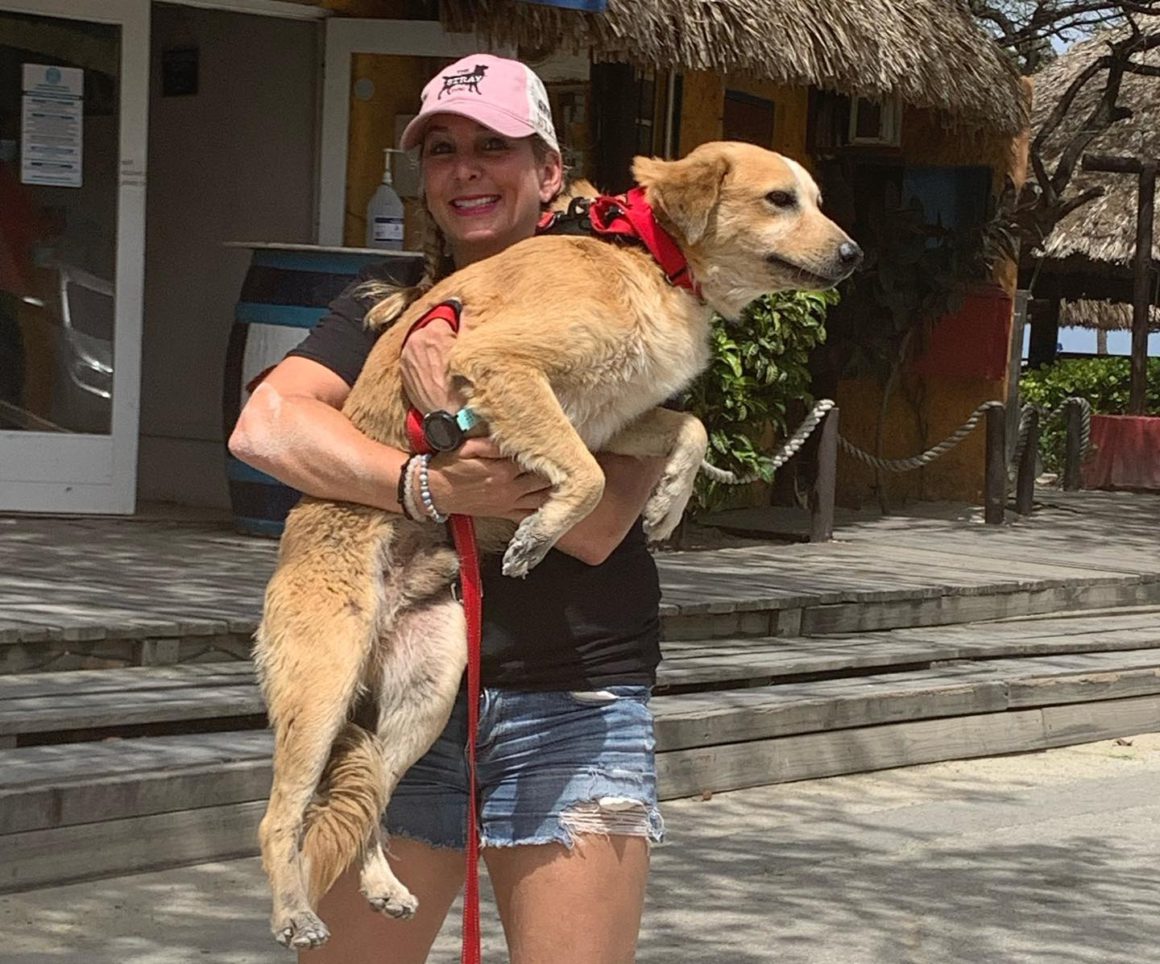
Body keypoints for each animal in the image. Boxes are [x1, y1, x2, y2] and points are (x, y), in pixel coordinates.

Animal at [258, 143, 863, 951]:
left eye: (817, 200)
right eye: (779, 199)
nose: (855, 255)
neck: (646, 256)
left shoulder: (613, 417)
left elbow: (688, 429)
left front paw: (668, 500)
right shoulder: (502, 366)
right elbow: (583, 475)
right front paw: (539, 536)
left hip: (431, 687)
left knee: (371, 790)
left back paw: (382, 882)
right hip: (322, 687)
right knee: (282, 813)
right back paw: (292, 911)